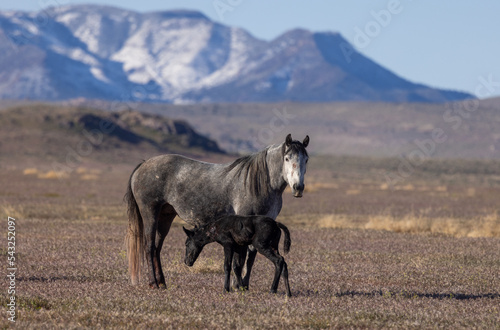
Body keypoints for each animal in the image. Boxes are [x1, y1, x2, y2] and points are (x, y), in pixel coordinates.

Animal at [125, 133, 308, 288]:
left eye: (306, 159)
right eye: (287, 158)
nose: (298, 188)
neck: (260, 182)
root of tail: (142, 165)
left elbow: (251, 257)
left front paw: (244, 285)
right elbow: (239, 259)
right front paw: (237, 285)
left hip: (165, 217)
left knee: (157, 248)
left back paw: (162, 283)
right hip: (150, 213)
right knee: (149, 247)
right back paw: (153, 284)